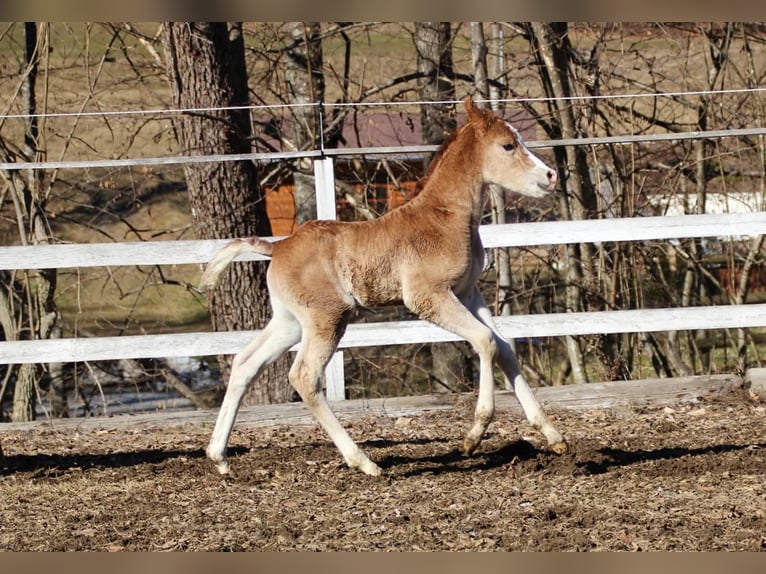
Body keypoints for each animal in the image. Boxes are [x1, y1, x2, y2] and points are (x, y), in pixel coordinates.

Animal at [200, 96, 568, 477]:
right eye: (508, 145)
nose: (551, 176)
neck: (445, 217)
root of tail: (278, 246)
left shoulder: (468, 292)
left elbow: (504, 346)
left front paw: (552, 435)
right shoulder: (427, 296)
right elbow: (485, 341)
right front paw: (474, 435)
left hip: (290, 322)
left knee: (245, 364)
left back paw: (219, 458)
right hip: (328, 318)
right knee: (304, 376)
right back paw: (364, 462)